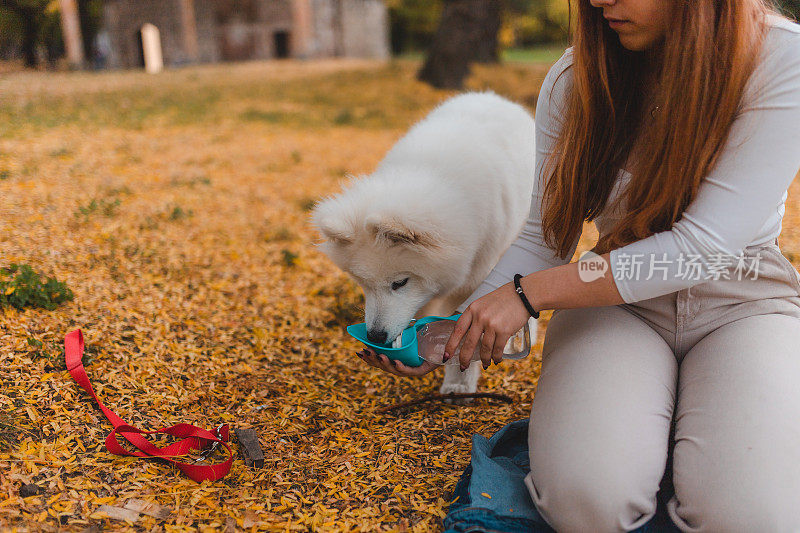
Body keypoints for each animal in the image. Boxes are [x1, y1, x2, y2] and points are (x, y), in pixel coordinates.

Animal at [312, 89, 536, 392]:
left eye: (400, 283)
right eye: (364, 284)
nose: (376, 336)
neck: (434, 175)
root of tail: (497, 98)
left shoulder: (476, 275)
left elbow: (464, 334)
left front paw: (459, 383)